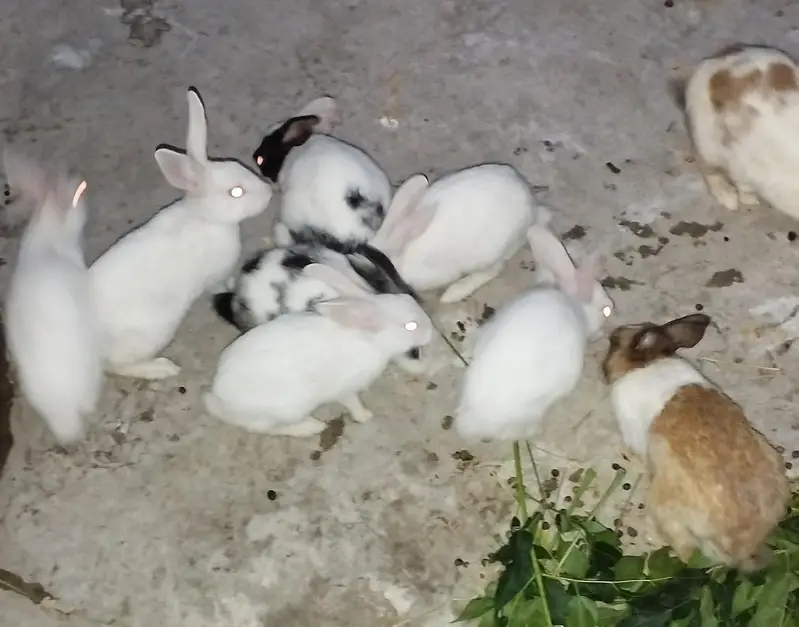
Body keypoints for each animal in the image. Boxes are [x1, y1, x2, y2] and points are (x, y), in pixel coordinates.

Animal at [90, 86, 273, 380]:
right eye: (235, 192)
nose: (268, 191)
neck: (206, 219)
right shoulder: (216, 275)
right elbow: (221, 284)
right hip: (150, 335)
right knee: (117, 366)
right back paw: (162, 369)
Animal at [203, 262, 434, 436]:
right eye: (411, 326)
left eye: (408, 298)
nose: (432, 331)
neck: (369, 339)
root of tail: (220, 399)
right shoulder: (345, 388)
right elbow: (352, 402)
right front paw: (365, 416)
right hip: (290, 408)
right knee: (267, 428)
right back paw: (312, 427)